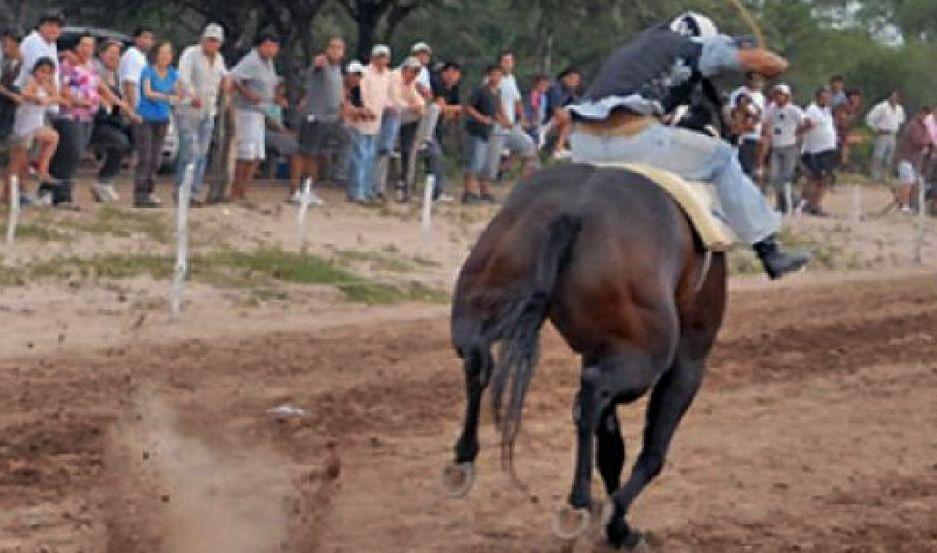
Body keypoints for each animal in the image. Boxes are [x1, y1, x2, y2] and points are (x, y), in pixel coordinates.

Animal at [442, 162, 727, 548]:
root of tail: (573, 211)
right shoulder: (688, 360)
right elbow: (651, 449)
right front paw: (616, 522)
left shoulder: (597, 353)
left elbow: (611, 449)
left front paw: (618, 527)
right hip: (641, 361)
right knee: (592, 397)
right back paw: (577, 503)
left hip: (485, 295)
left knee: (477, 360)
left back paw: (463, 461)